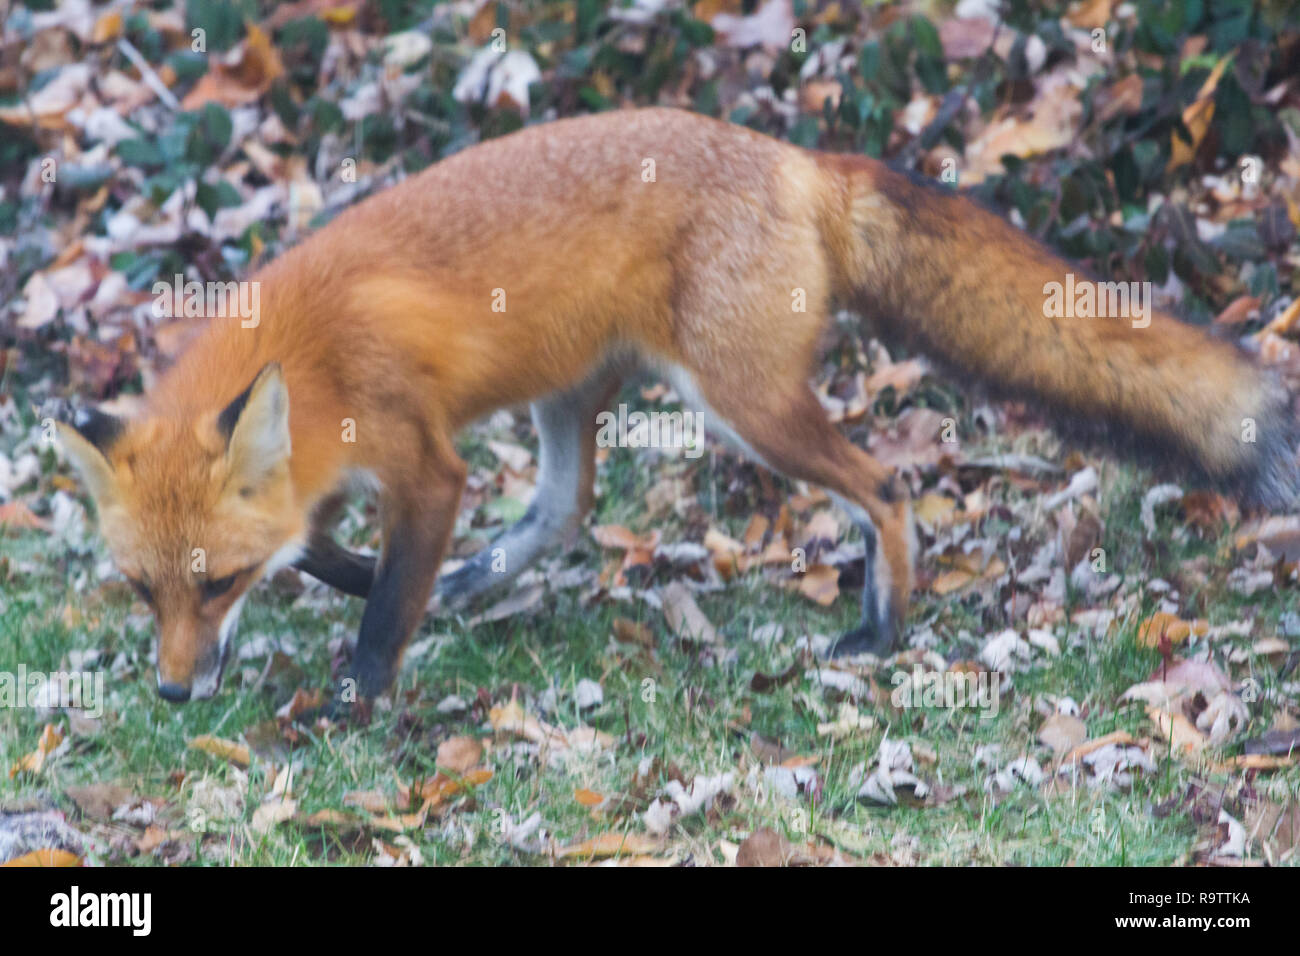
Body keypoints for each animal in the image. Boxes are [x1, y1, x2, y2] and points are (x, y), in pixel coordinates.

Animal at [55, 107, 1298, 703]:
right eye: (143, 588)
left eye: (214, 584)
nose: (172, 694)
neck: (310, 356)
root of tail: (796, 158)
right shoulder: (335, 478)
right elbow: (328, 551)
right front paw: (388, 587)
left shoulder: (425, 462)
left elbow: (375, 603)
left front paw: (349, 700)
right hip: (574, 396)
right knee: (562, 511)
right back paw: (480, 579)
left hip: (744, 404)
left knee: (886, 483)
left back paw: (881, 626)